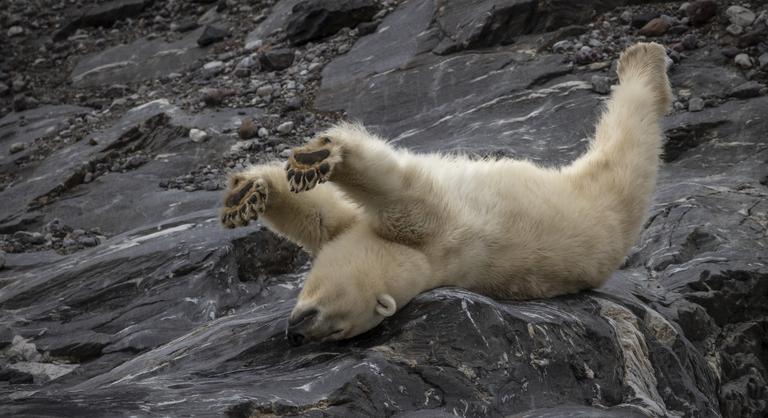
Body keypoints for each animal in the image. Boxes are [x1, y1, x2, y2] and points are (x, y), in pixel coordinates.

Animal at [219, 42, 668, 344]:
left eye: (338, 329)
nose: (296, 333)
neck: (423, 263)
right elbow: (320, 216)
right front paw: (247, 196)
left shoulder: (436, 230)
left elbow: (395, 189)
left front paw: (321, 155)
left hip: (598, 200)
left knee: (628, 145)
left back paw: (643, 61)